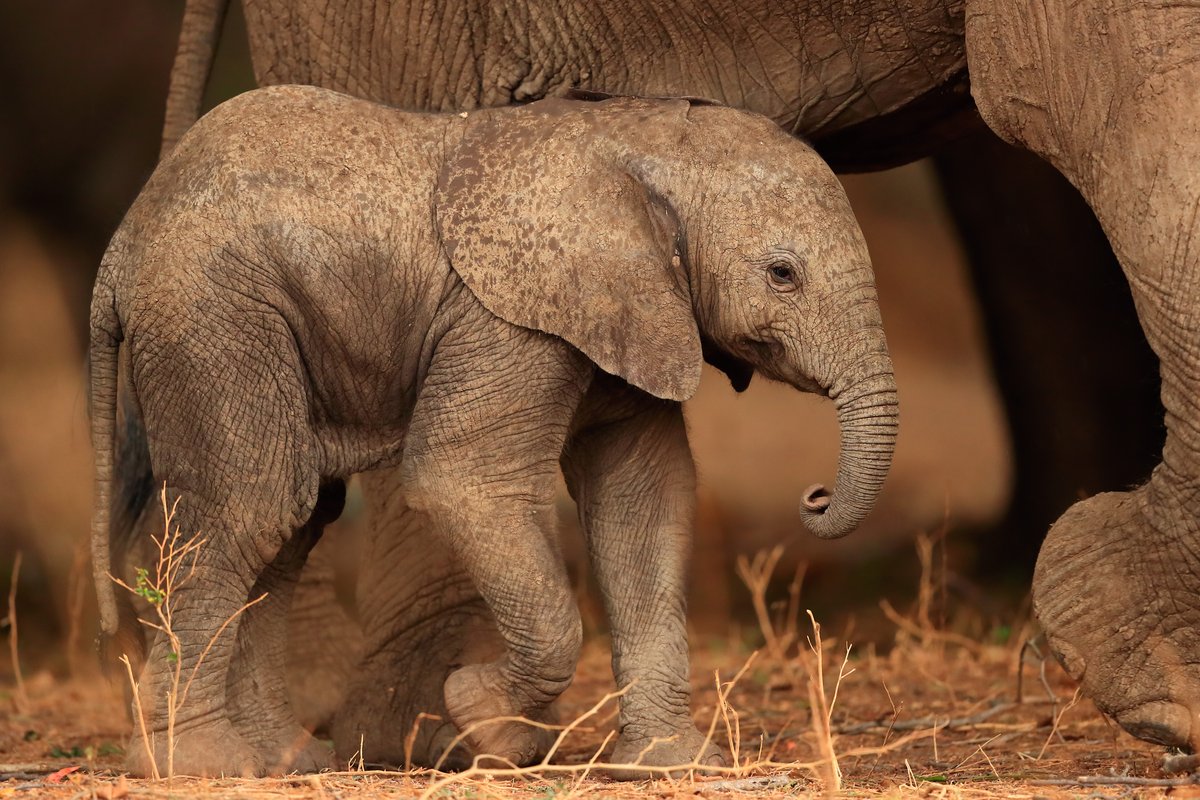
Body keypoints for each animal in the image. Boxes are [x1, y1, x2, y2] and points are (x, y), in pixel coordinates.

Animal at [90, 86, 899, 777]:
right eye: (782, 274)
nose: (815, 496)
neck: (643, 144)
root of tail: (121, 243)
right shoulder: (506, 317)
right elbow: (465, 477)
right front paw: (483, 722)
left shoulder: (629, 309)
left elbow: (642, 497)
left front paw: (671, 766)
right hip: (212, 313)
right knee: (252, 506)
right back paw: (198, 766)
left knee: (294, 521)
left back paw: (287, 761)